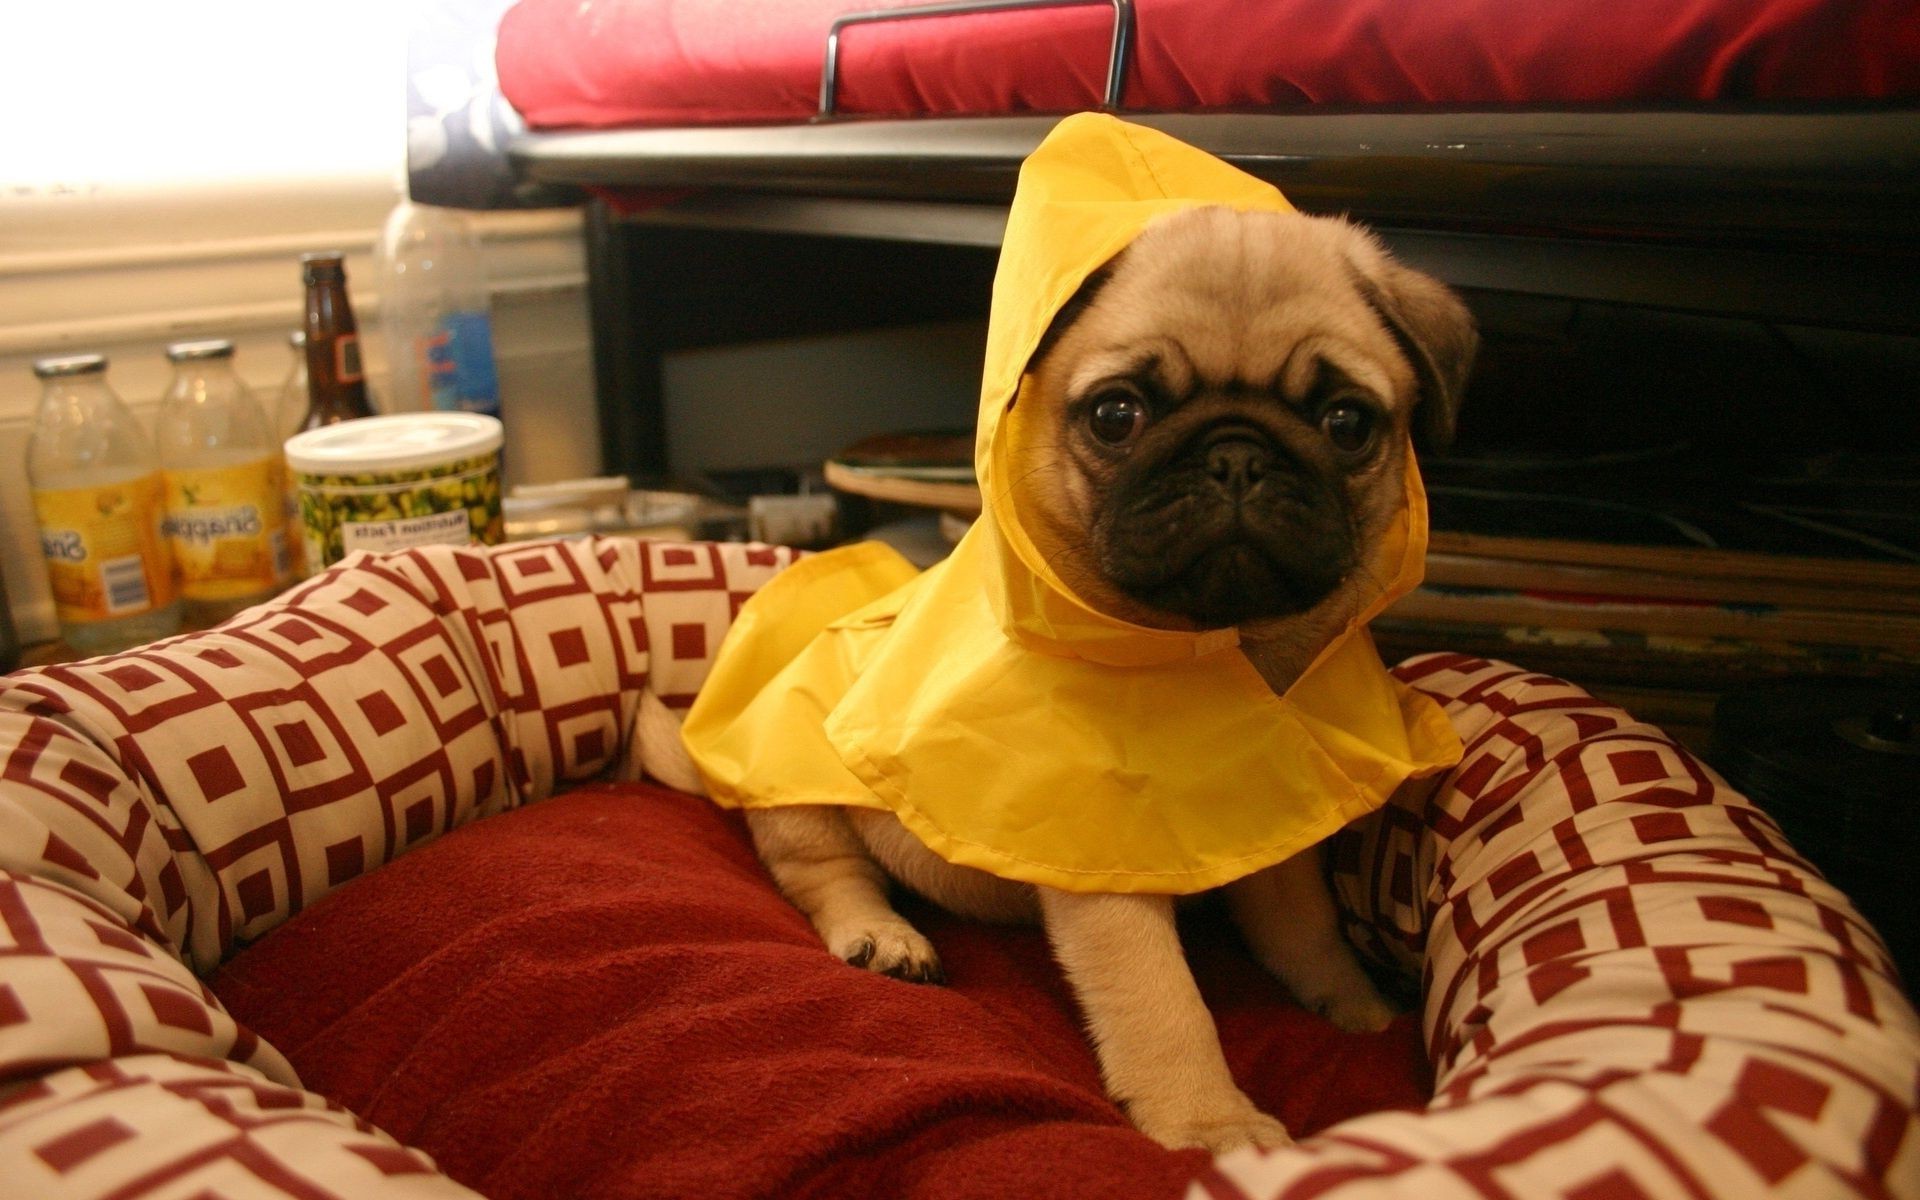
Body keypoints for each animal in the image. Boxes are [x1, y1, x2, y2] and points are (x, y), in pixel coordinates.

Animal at [637, 203, 1474, 1152]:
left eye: (1347, 424)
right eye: (1116, 414)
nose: (1236, 457)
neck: (1219, 651)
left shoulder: (1276, 828)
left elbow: (1306, 929)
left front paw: (1356, 1005)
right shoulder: (1105, 864)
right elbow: (1162, 1001)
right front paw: (1211, 1122)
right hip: (804, 799)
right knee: (824, 876)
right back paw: (881, 936)